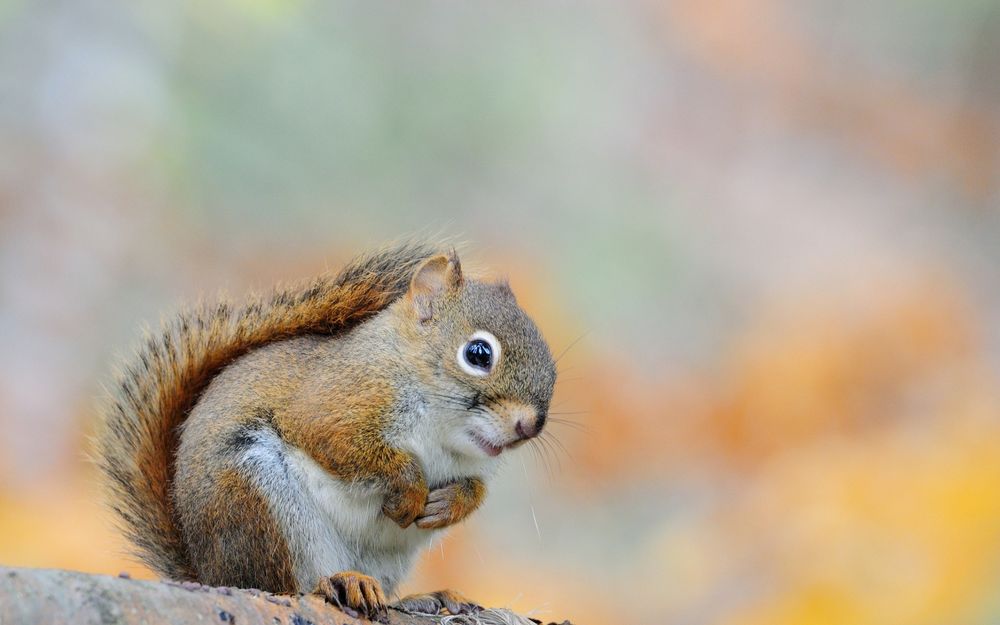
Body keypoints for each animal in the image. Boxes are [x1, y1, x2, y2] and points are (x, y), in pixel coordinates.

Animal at [94, 241, 557, 620]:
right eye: (478, 353)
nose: (529, 426)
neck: (443, 431)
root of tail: (207, 572)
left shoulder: (473, 461)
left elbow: (474, 488)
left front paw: (451, 503)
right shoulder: (333, 402)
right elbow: (336, 441)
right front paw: (410, 487)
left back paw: (426, 597)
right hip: (254, 498)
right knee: (279, 585)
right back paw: (338, 582)